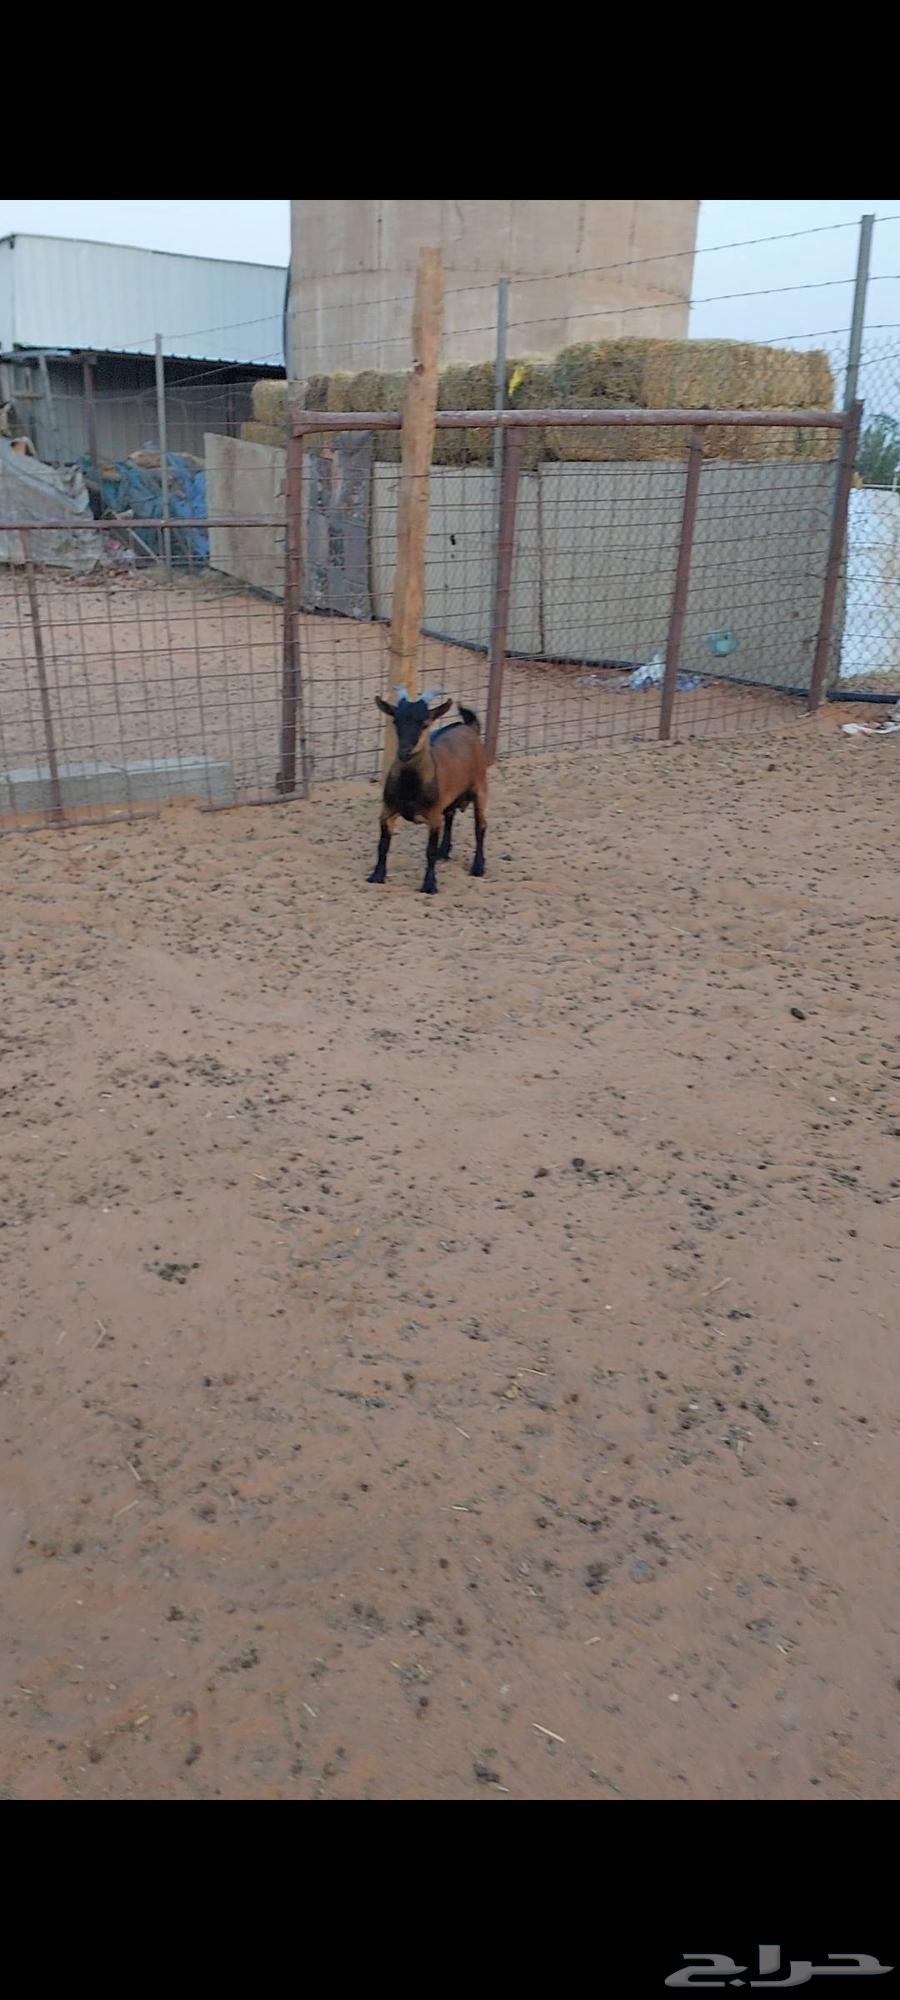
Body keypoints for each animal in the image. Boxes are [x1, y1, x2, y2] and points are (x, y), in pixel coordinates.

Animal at [368, 686, 489, 894]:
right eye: (396, 721)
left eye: (424, 723)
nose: (404, 751)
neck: (410, 788)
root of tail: (469, 727)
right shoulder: (387, 811)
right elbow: (383, 845)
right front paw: (376, 876)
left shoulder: (433, 817)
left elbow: (429, 852)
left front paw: (429, 885)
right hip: (450, 797)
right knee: (450, 816)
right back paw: (444, 852)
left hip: (480, 788)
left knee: (480, 826)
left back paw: (478, 867)